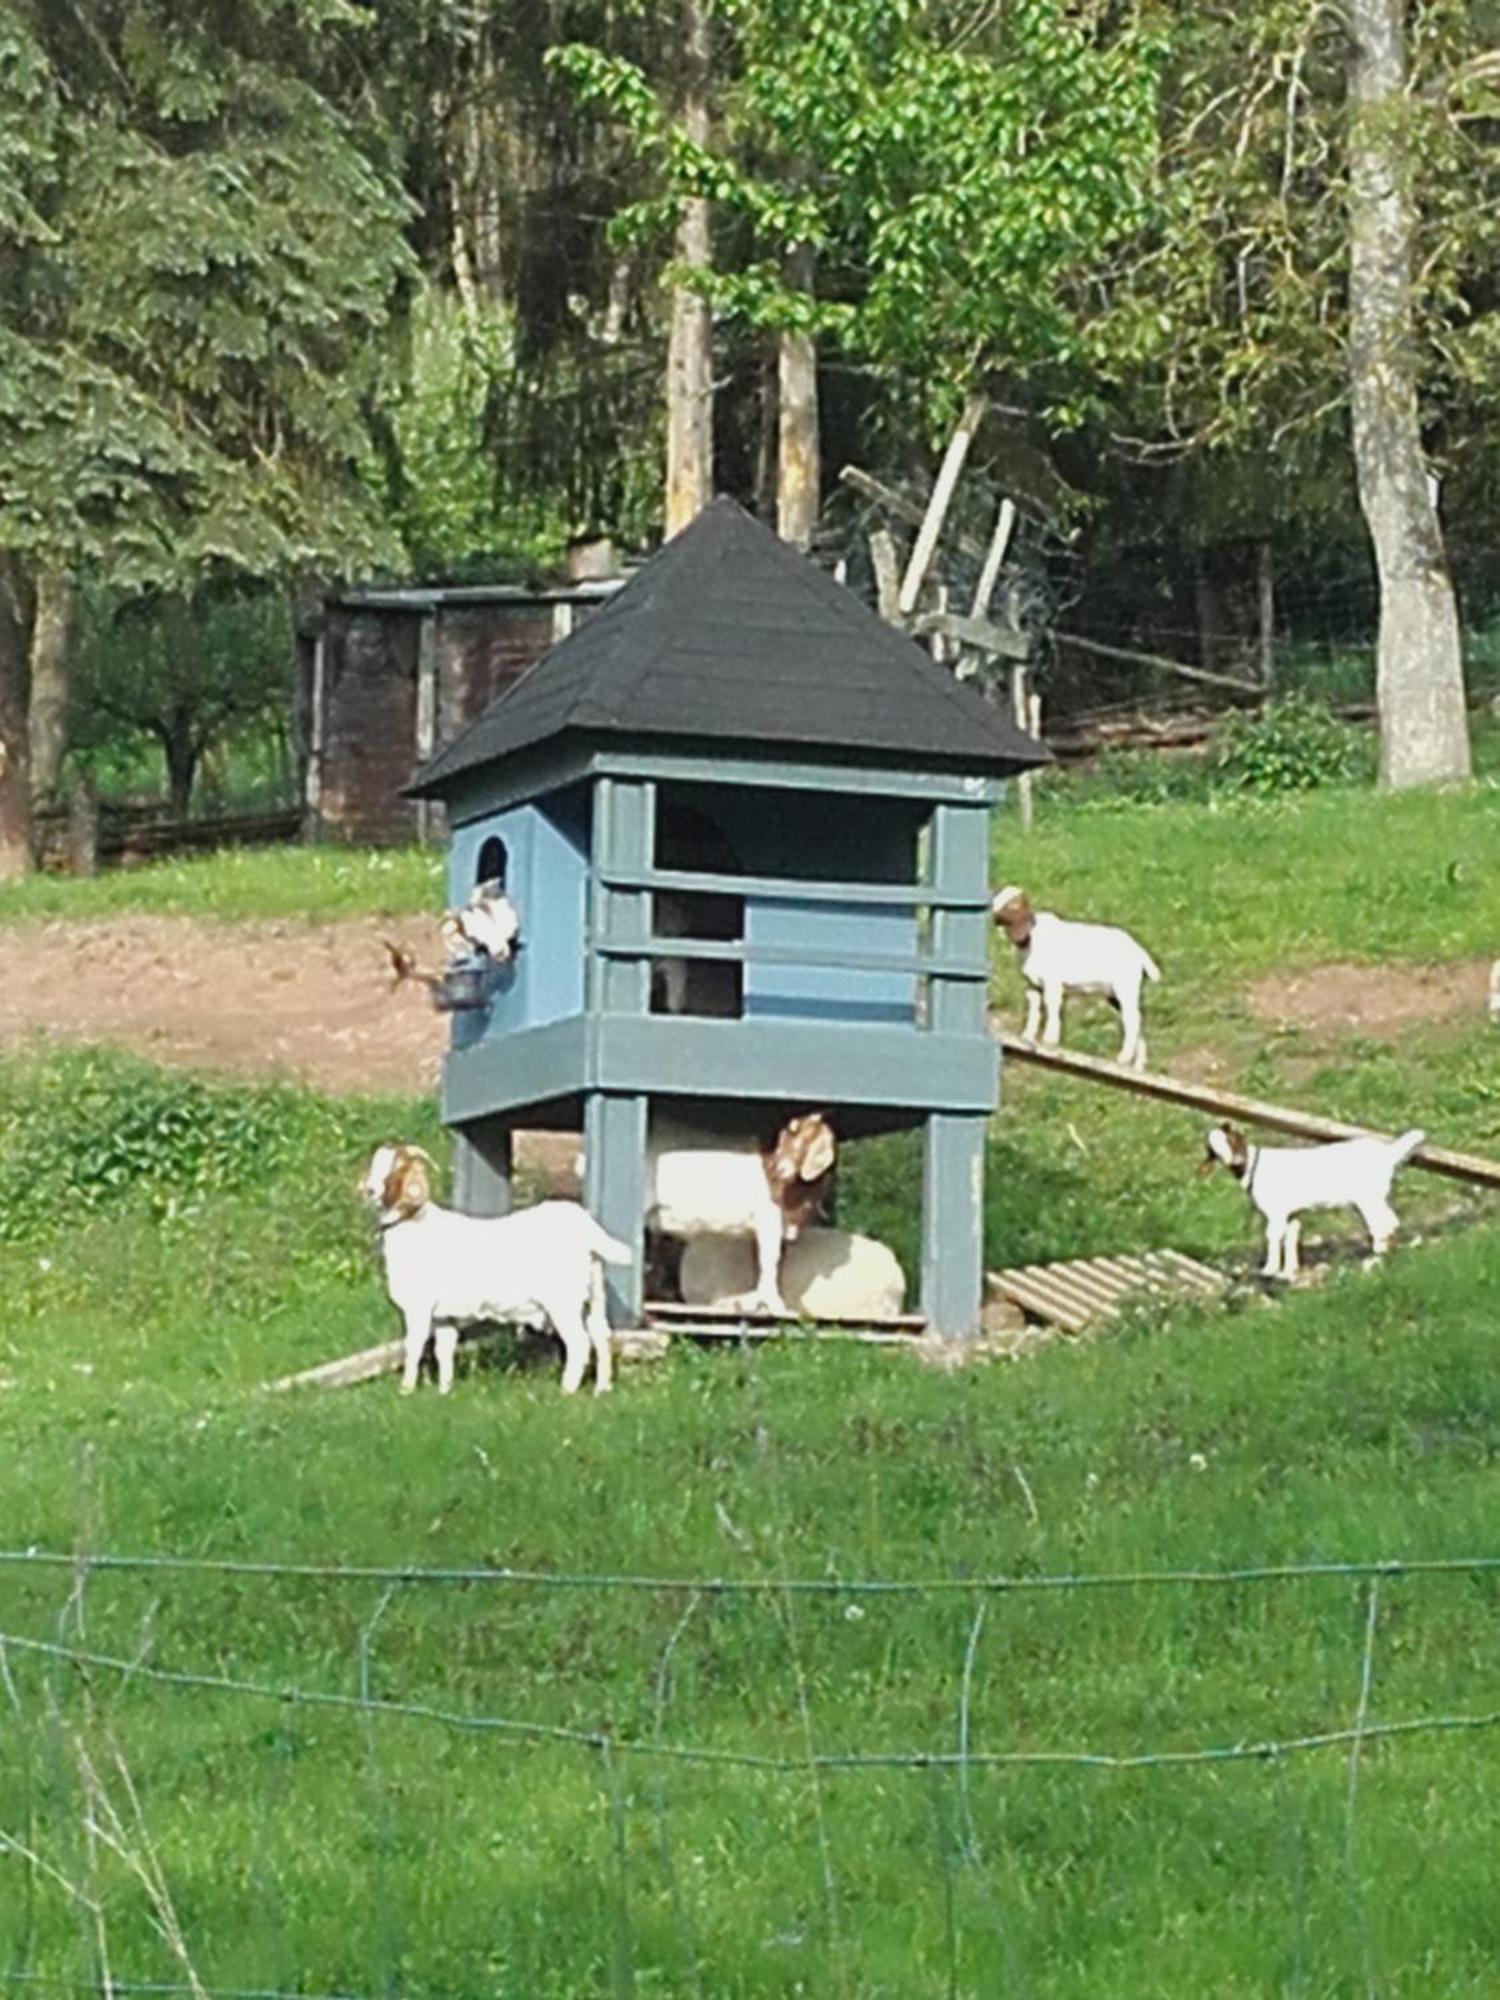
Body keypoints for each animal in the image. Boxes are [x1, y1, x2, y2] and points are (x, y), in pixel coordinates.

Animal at [364, 1152, 636, 1400]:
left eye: (395, 1168)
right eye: (374, 1163)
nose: (369, 1190)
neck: (415, 1226)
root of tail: (586, 1227)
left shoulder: (418, 1307)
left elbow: (414, 1345)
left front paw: (406, 1389)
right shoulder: (444, 1314)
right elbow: (445, 1349)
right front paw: (444, 1390)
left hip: (563, 1301)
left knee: (580, 1342)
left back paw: (566, 1391)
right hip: (594, 1294)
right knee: (601, 1335)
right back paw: (602, 1389)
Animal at [1000, 884, 1160, 1072]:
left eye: (1013, 904)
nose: (995, 915)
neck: (1032, 939)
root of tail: (1140, 953)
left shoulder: (1052, 982)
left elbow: (1052, 1006)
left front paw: (1049, 1041)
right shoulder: (1033, 985)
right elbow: (1034, 1010)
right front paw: (1027, 1037)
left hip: (1126, 987)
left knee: (1133, 1020)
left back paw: (1124, 1059)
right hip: (1114, 994)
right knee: (1138, 1021)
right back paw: (1138, 1065)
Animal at [1208, 1128, 1424, 1280]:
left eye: (1228, 1141)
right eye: (1212, 1148)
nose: (1232, 1160)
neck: (1255, 1167)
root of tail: (1388, 1154)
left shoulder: (1277, 1212)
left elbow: (1273, 1236)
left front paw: (1269, 1269)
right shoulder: (1291, 1212)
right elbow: (1291, 1236)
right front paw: (1288, 1271)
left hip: (1368, 1198)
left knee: (1382, 1225)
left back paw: (1377, 1256)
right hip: (1376, 1197)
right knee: (1392, 1221)